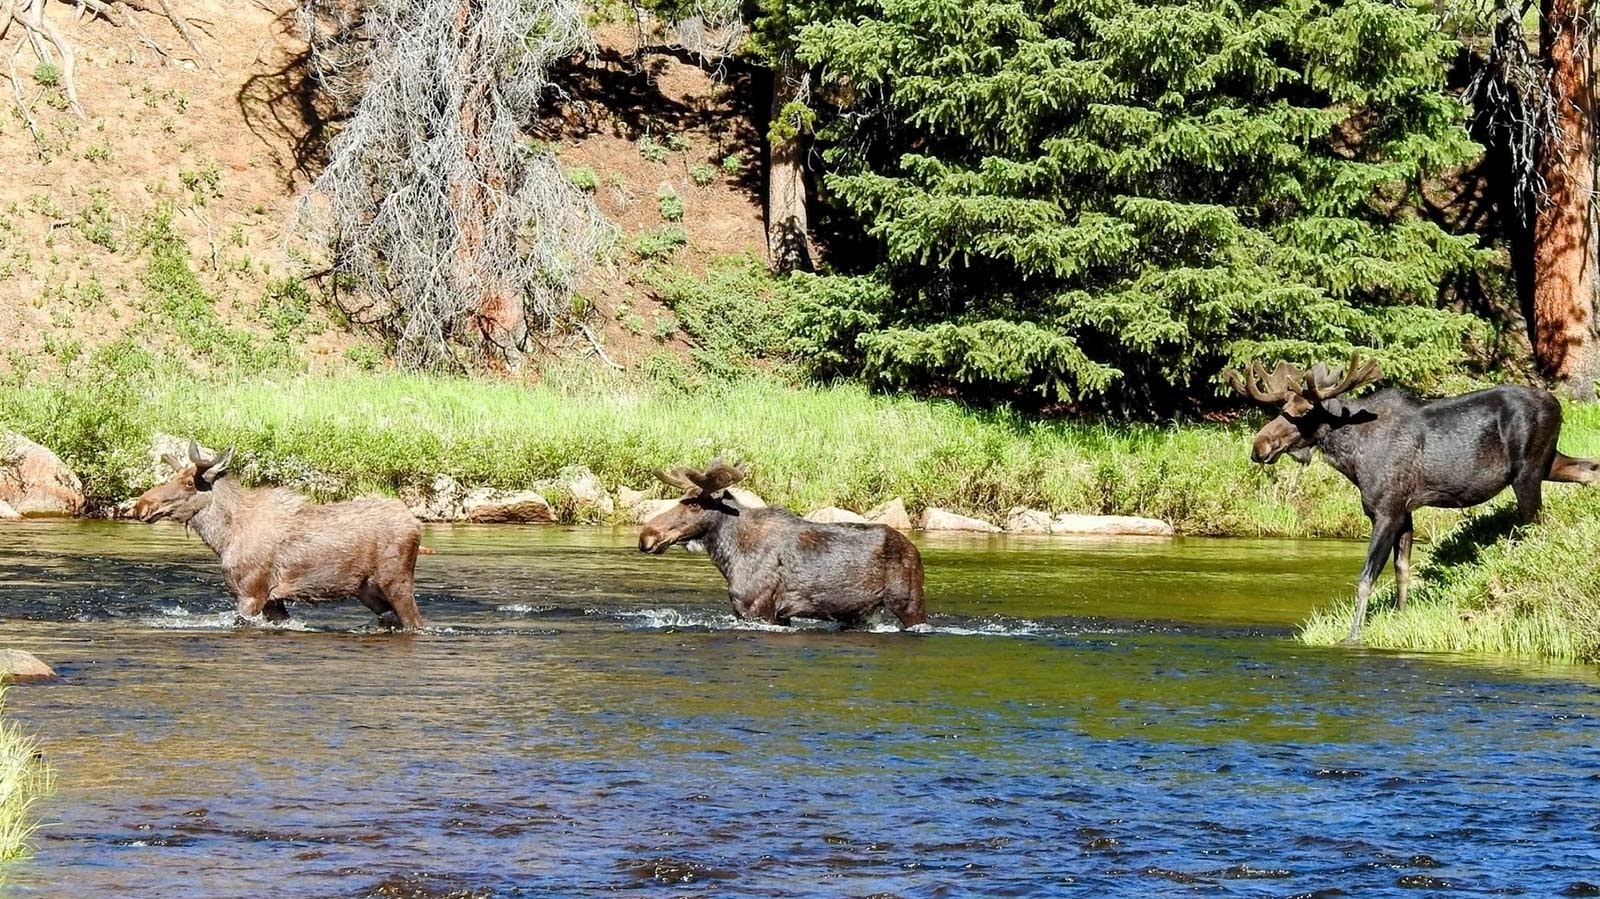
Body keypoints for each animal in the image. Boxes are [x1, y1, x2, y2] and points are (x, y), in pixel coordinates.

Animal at [132, 438, 428, 627]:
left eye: (188, 483)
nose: (141, 505)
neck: (224, 539)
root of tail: (415, 524)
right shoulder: (272, 601)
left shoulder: (251, 593)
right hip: (368, 591)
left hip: (396, 582)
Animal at [640, 457, 928, 627]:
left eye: (695, 505)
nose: (647, 536)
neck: (730, 557)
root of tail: (914, 549)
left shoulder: (759, 610)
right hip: (859, 613)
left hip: (909, 602)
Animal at [1228, 353, 1593, 639]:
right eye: (1281, 406)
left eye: (1305, 411)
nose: (1260, 446)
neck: (1352, 456)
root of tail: (1559, 405)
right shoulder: (1406, 512)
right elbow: (1402, 571)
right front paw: (1400, 619)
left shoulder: (1387, 511)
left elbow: (1366, 578)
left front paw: (1353, 635)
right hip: (1549, 461)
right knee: (1590, 468)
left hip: (1528, 472)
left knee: (1536, 525)